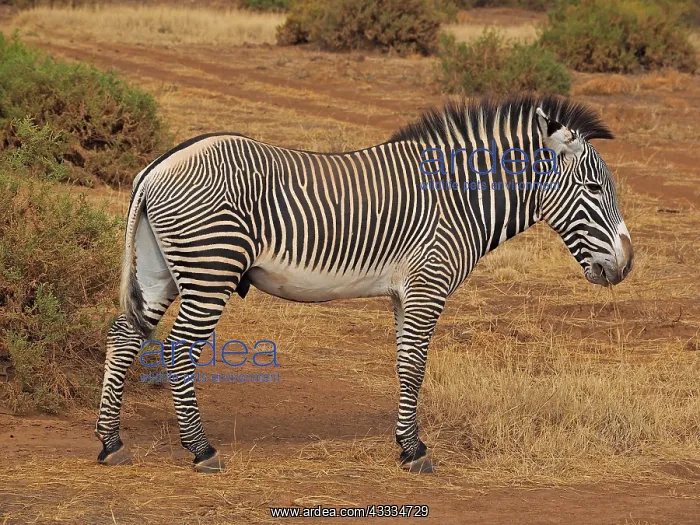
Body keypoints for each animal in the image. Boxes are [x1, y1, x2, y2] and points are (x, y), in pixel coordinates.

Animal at [95, 94, 634, 474]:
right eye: (592, 188)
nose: (626, 265)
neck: (458, 199)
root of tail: (155, 167)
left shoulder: (404, 293)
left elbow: (404, 365)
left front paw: (405, 440)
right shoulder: (427, 285)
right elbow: (415, 366)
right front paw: (414, 450)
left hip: (159, 269)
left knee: (124, 336)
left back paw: (110, 442)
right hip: (211, 267)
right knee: (178, 350)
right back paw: (201, 450)